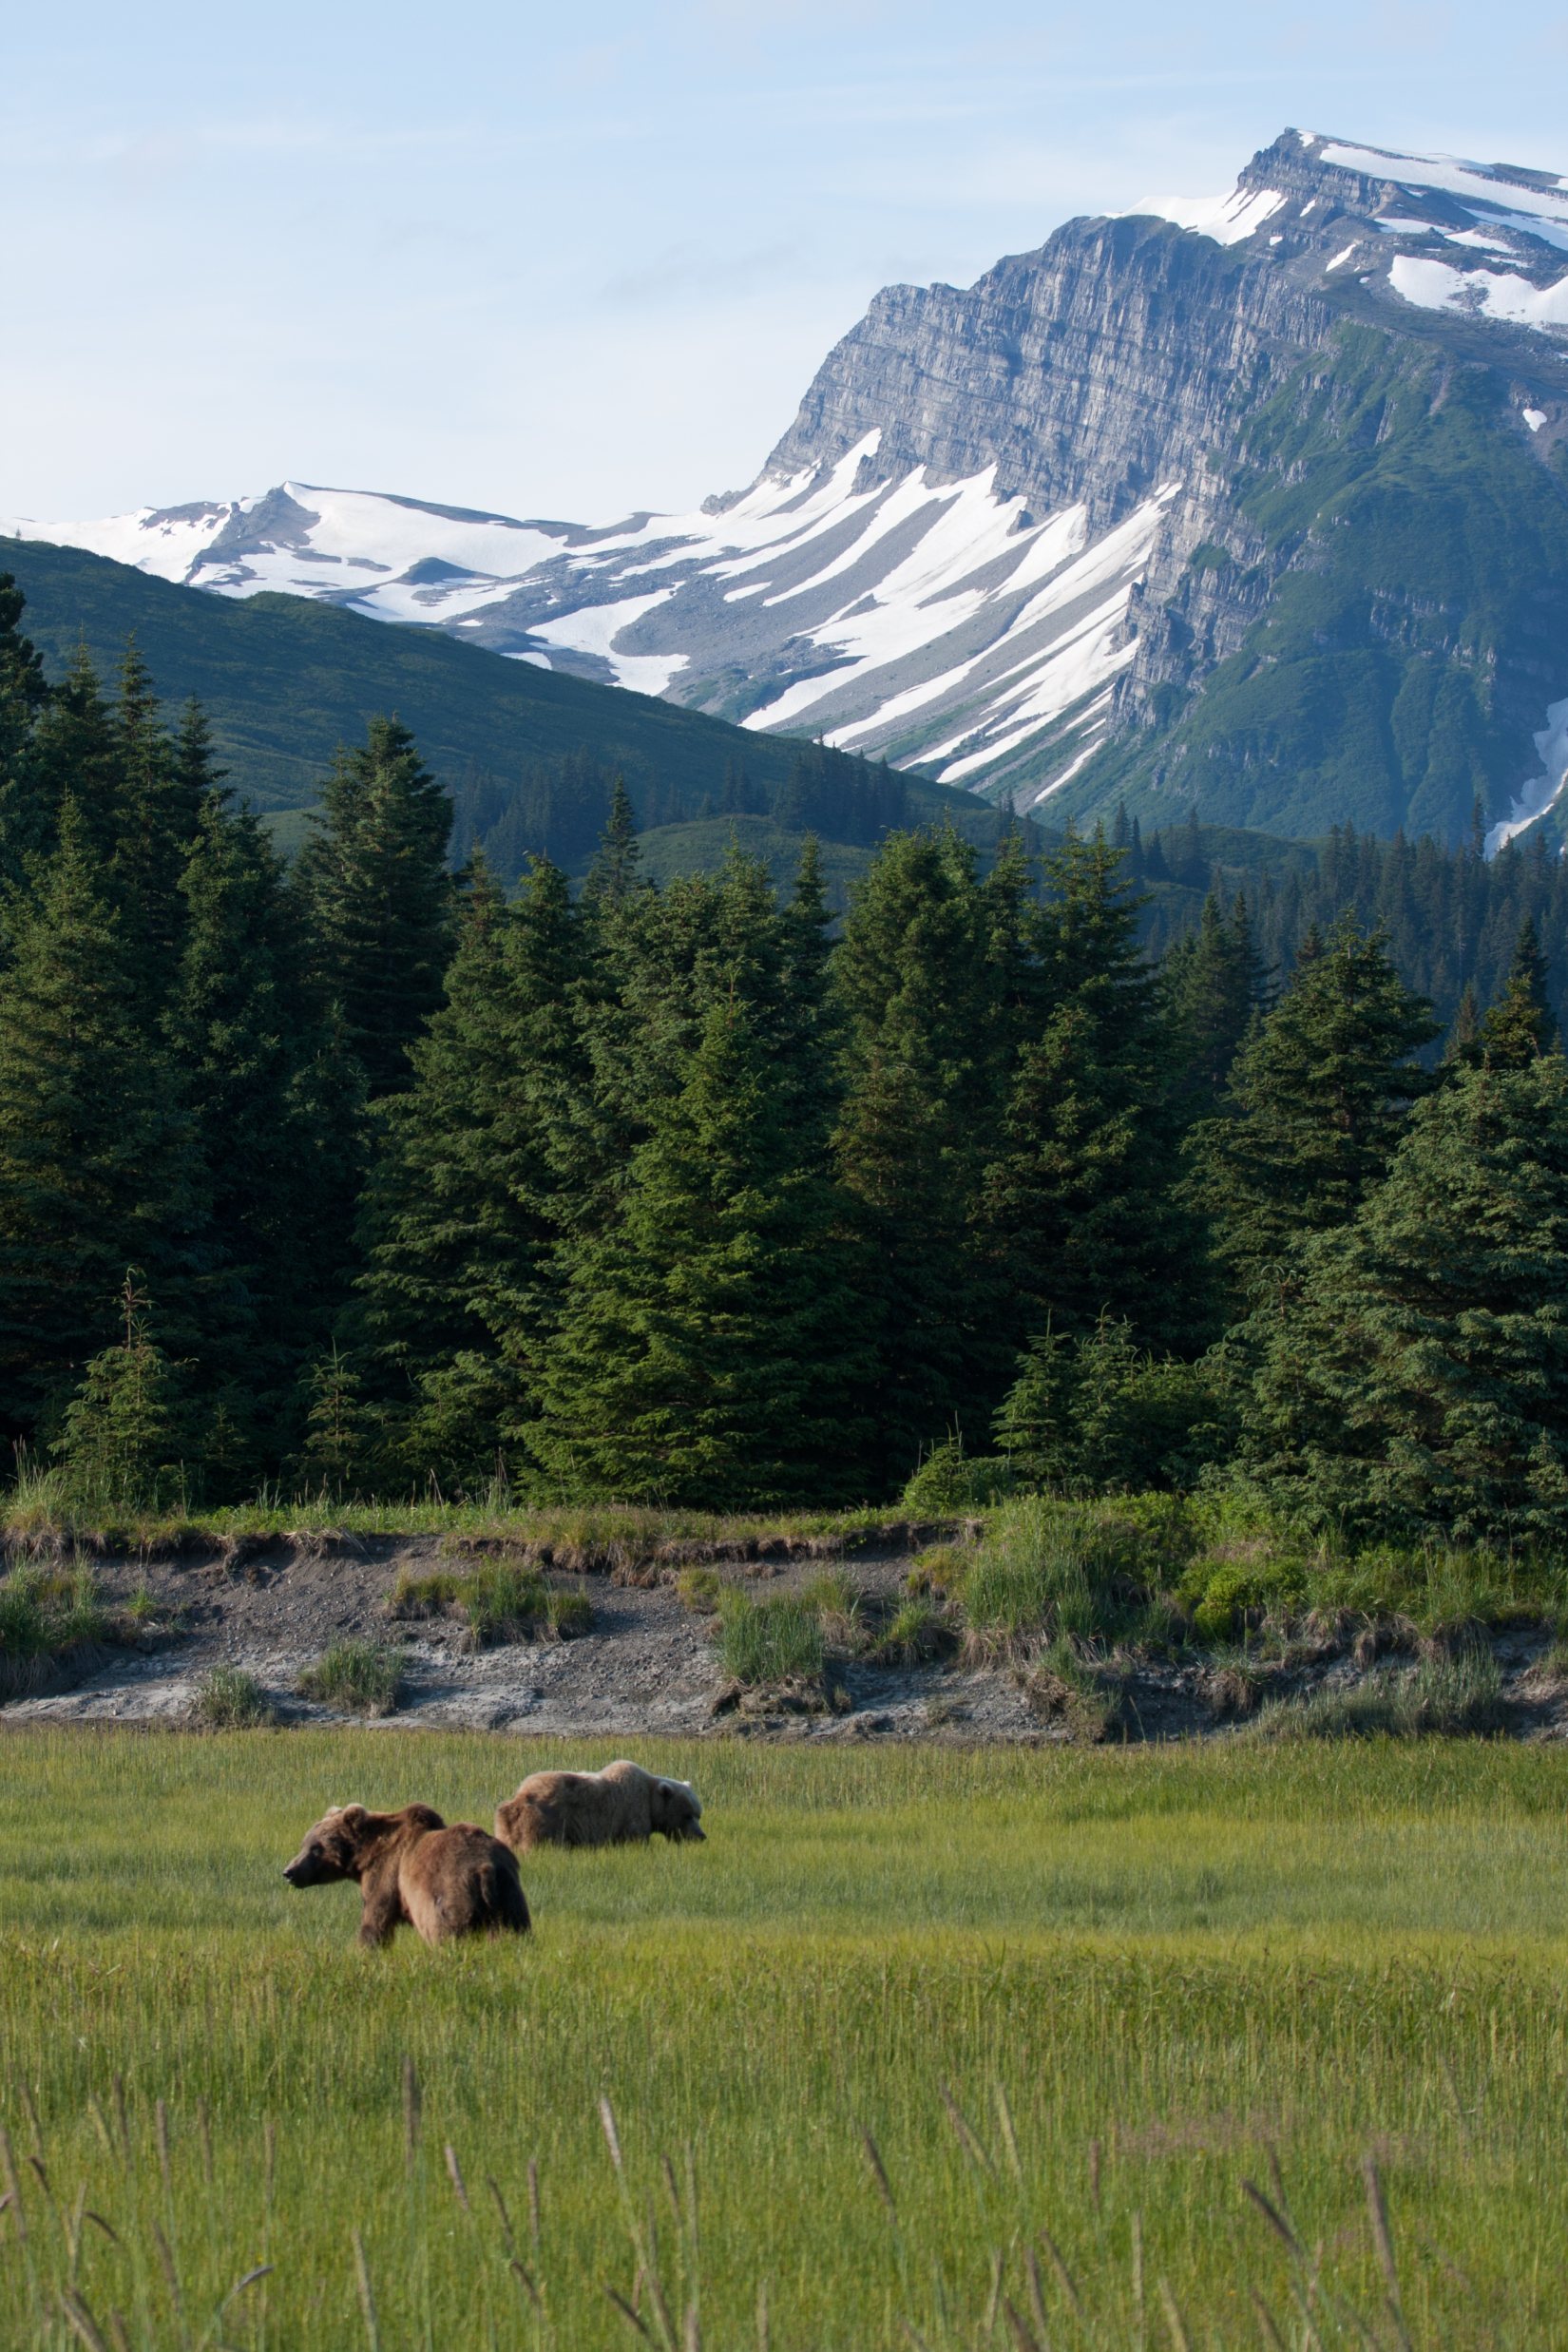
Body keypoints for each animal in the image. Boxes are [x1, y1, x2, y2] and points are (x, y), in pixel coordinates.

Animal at [278, 1796, 531, 1947]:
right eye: (305, 1843)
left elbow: (376, 1918)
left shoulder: (387, 1872)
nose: (289, 1872)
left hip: (452, 1891)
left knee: (445, 1931)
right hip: (509, 1893)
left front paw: (364, 1948)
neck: (367, 1853)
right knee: (516, 1930)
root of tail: (485, 1868)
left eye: (316, 1848)